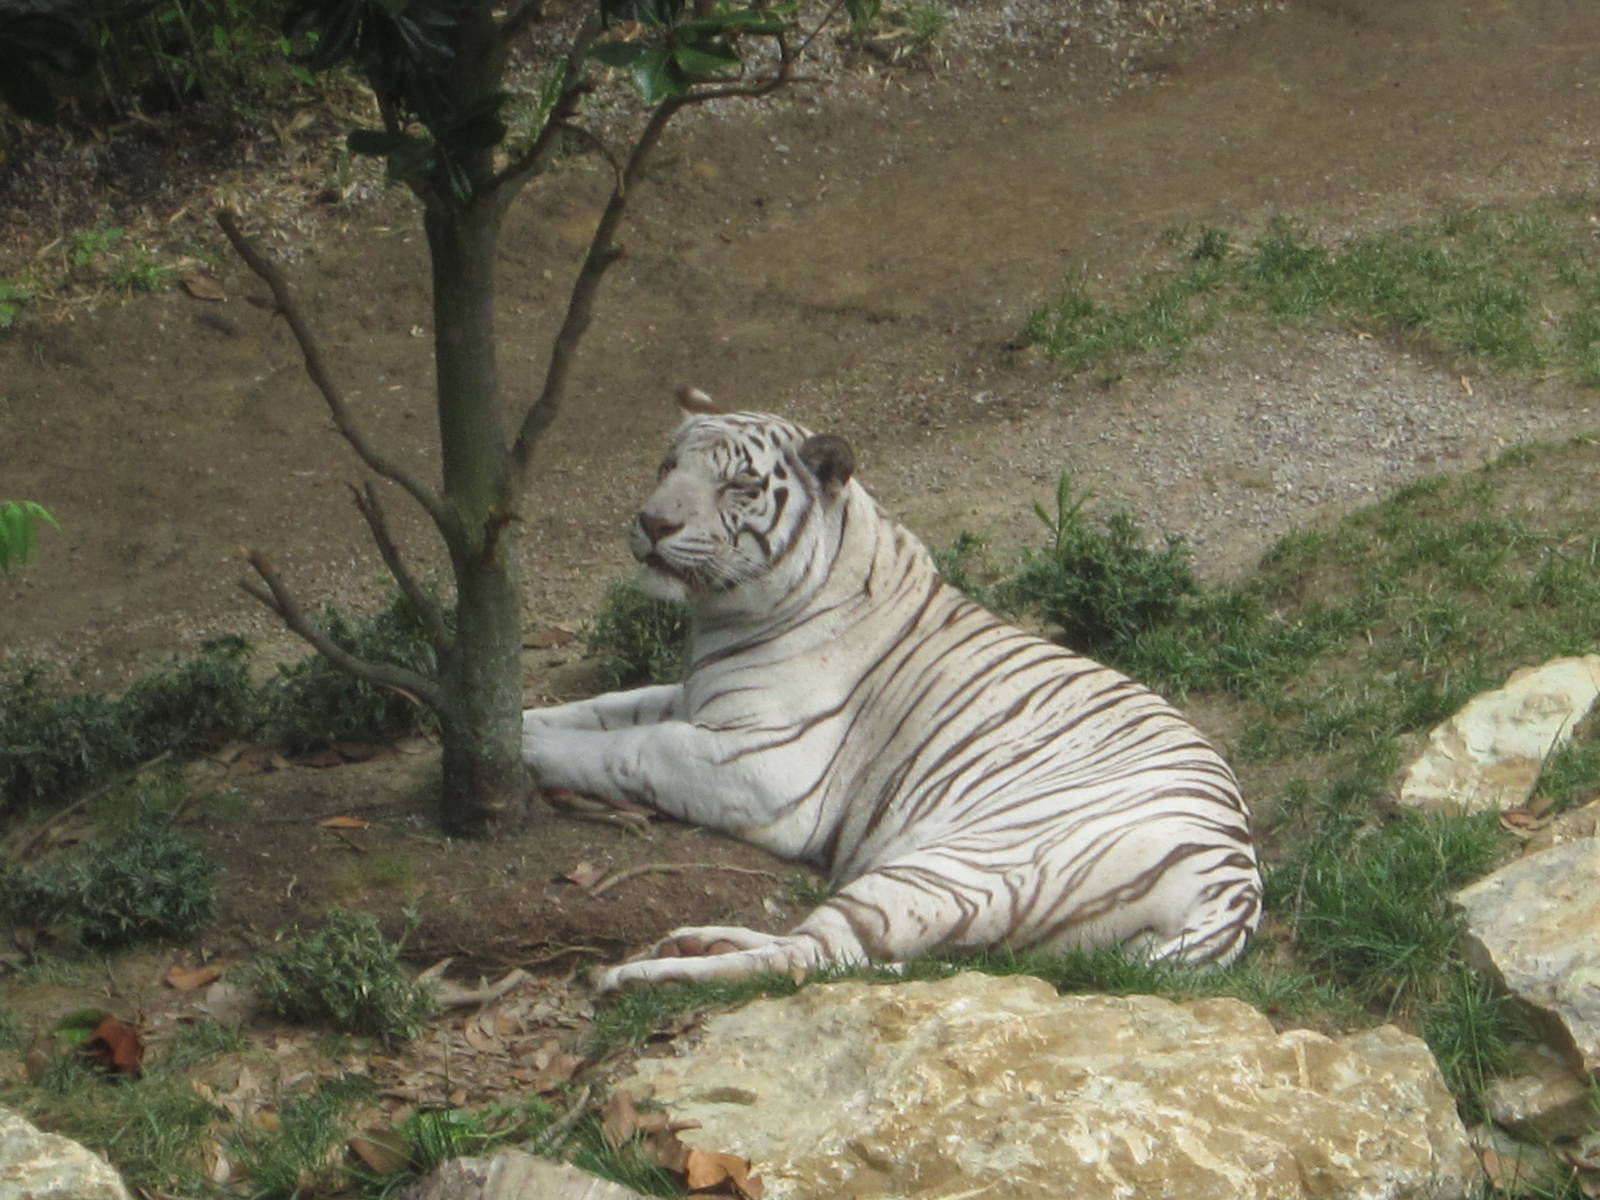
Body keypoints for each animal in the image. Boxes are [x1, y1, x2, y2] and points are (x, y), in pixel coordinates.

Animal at [521, 387, 1263, 991]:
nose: (653, 523)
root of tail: (1234, 892)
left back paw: (650, 974)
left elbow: (629, 750)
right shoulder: (694, 697)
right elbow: (603, 710)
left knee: (814, 960)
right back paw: (696, 943)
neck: (721, 616)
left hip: (950, 868)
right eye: (667, 467)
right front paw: (518, 722)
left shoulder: (763, 765)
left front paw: (523, 756)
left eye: (738, 485)